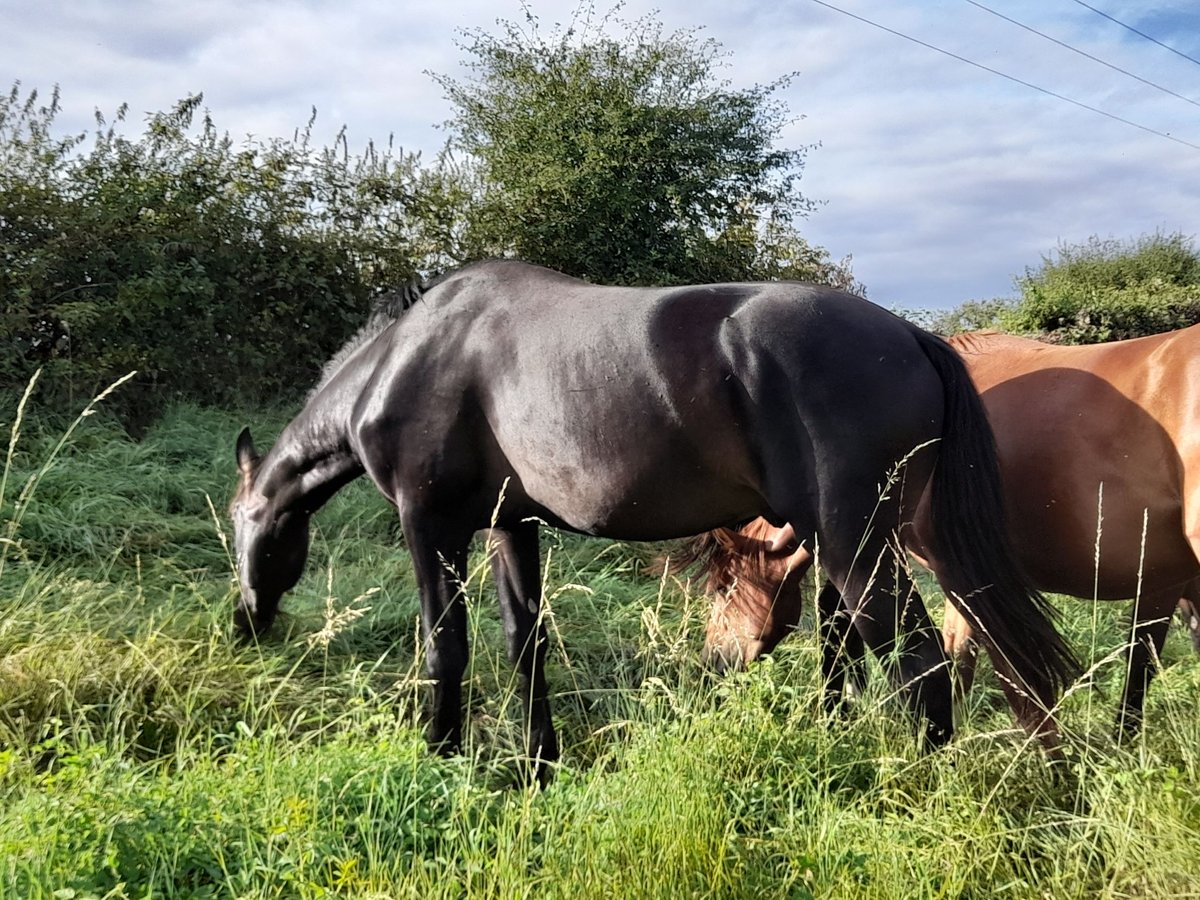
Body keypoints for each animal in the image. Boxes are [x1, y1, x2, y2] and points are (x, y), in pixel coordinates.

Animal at [231, 260, 1080, 782]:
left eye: (244, 524)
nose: (245, 621)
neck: (406, 355)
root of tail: (910, 335)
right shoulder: (511, 525)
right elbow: (524, 641)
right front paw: (539, 766)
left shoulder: (428, 522)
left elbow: (447, 645)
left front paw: (440, 759)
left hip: (857, 542)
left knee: (920, 662)